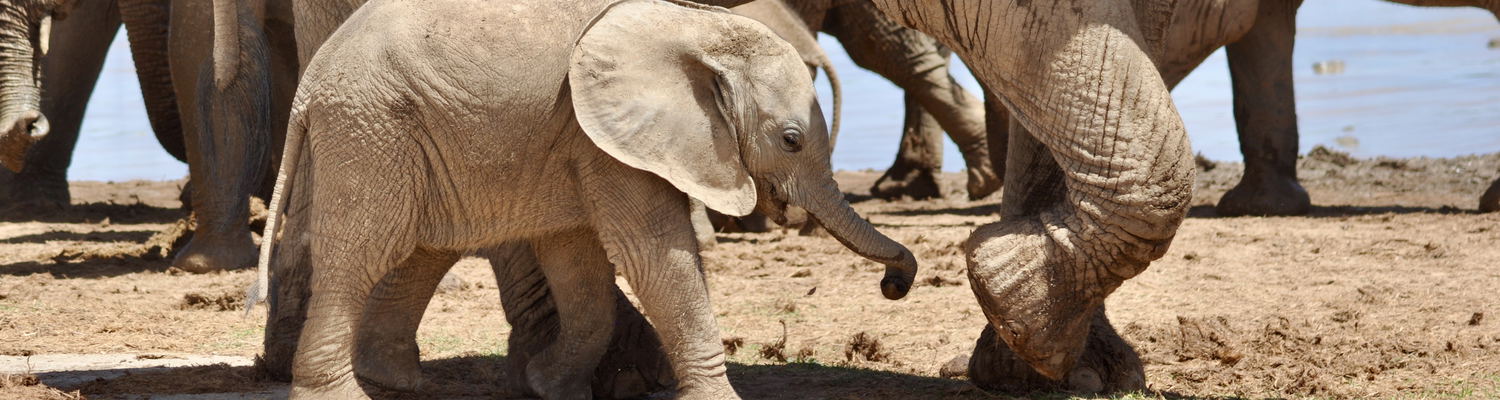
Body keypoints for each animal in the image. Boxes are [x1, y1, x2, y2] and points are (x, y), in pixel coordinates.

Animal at [248, 0, 919, 398]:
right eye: (791, 140)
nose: (895, 283)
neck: (694, 25)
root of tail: (311, 78)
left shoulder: (581, 141)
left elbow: (580, 265)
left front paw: (549, 387)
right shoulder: (605, 138)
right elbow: (652, 252)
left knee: (423, 248)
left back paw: (404, 382)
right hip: (371, 128)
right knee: (365, 251)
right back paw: (342, 392)